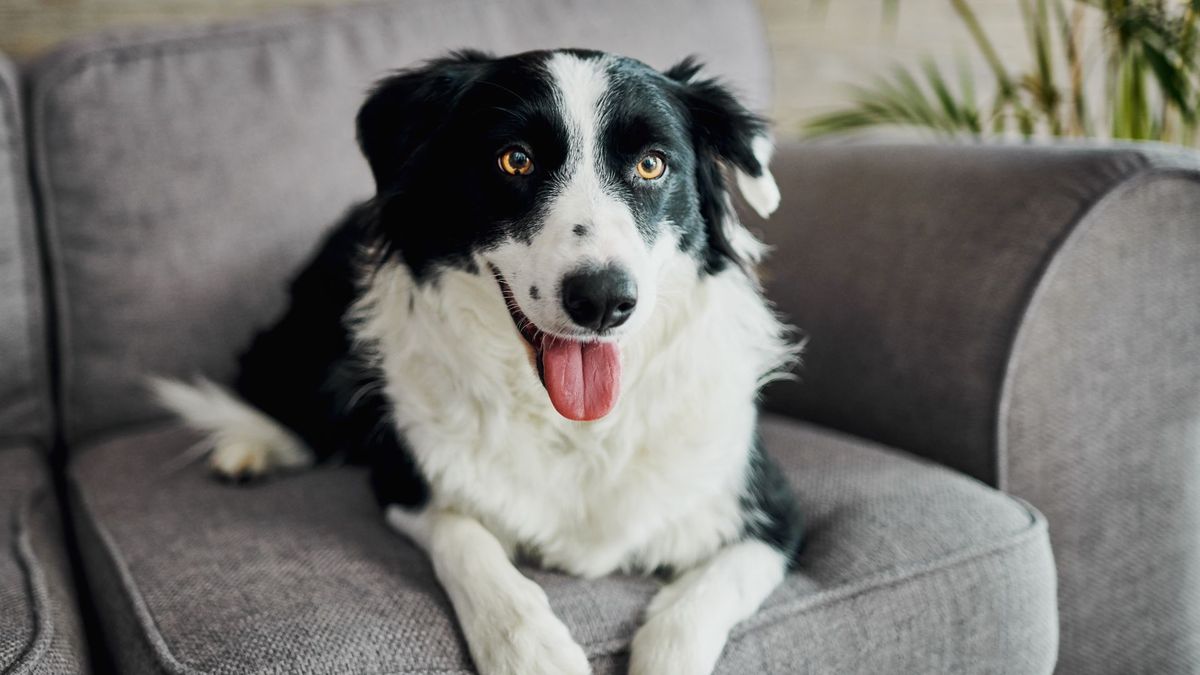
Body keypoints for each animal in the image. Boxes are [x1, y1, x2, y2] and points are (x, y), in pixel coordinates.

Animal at [154, 48, 801, 672]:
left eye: (651, 165)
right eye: (514, 161)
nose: (602, 300)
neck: (574, 428)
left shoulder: (775, 517)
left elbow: (694, 611)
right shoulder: (406, 482)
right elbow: (471, 546)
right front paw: (533, 652)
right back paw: (251, 449)